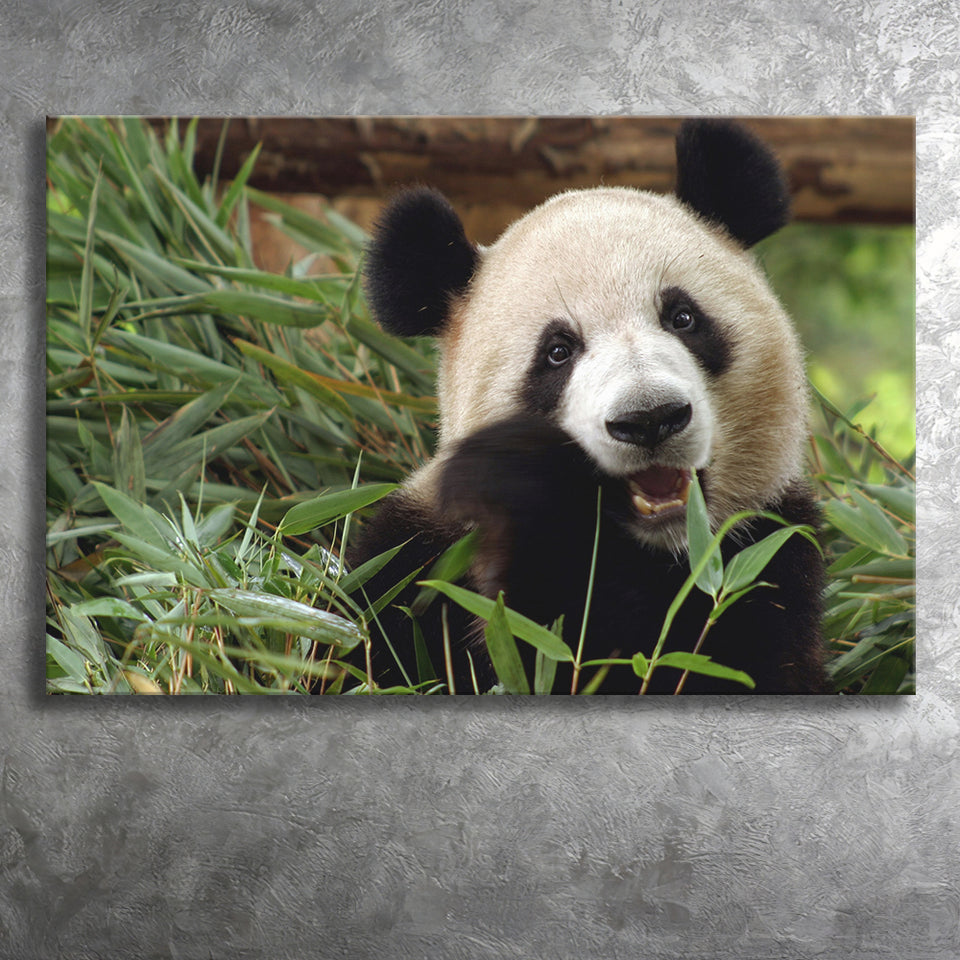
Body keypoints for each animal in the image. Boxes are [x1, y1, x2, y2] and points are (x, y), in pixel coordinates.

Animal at [351, 119, 830, 695]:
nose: (649, 419)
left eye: (683, 318)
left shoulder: (768, 553)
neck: (657, 552)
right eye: (558, 352)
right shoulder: (417, 563)